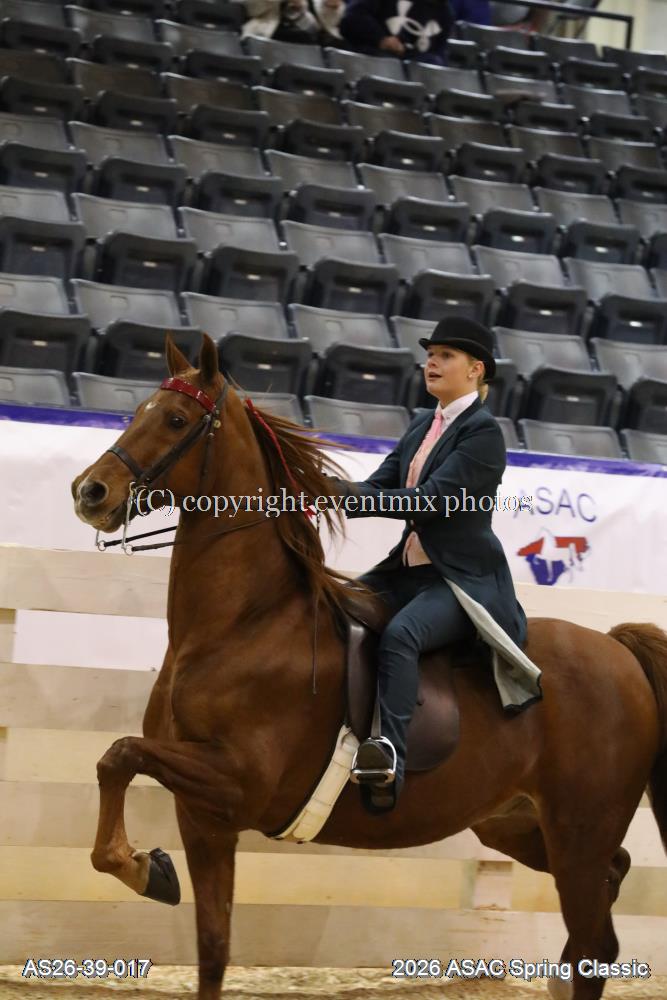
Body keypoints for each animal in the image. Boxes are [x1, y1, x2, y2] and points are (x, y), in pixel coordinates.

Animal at [72, 335, 667, 1000]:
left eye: (175, 420)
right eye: (137, 411)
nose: (89, 492)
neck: (243, 624)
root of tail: (617, 649)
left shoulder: (239, 782)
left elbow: (119, 754)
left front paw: (138, 863)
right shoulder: (205, 818)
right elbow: (212, 947)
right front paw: (149, 869)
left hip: (578, 831)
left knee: (594, 938)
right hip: (517, 825)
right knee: (605, 909)